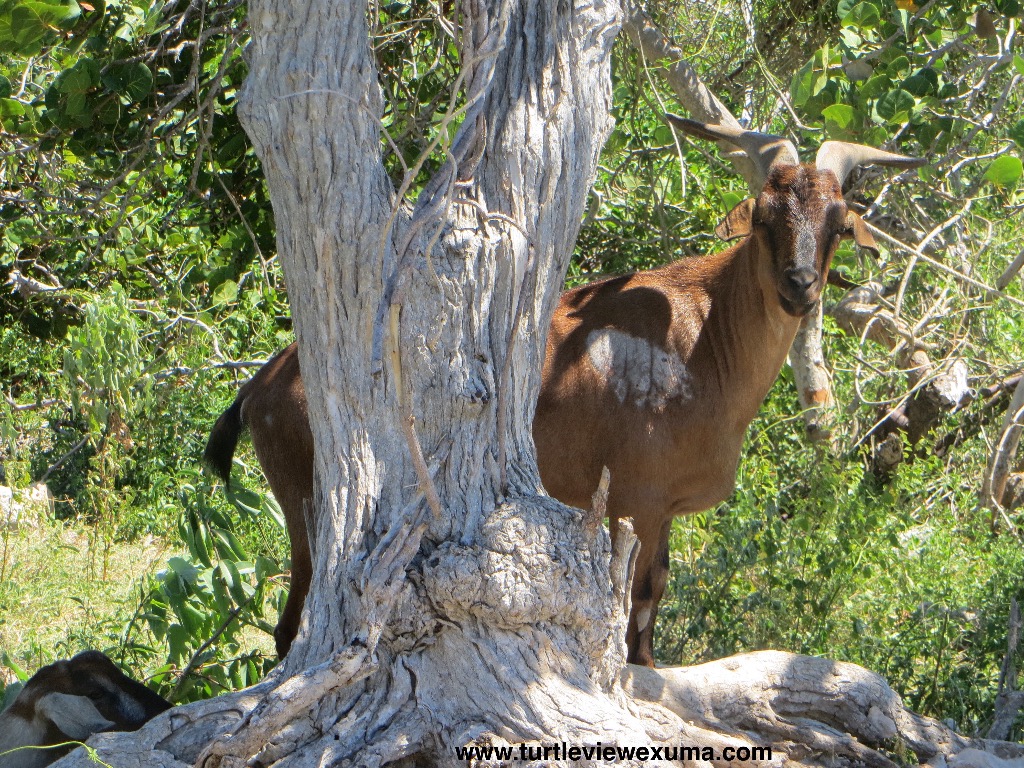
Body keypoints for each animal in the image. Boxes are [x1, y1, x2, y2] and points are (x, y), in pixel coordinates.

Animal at [203, 117, 925, 663]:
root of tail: (261, 385)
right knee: (291, 624)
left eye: (836, 220)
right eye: (766, 217)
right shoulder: (637, 503)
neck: (701, 338)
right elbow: (638, 608)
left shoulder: (658, 511)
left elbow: (652, 598)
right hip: (310, 509)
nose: (800, 286)